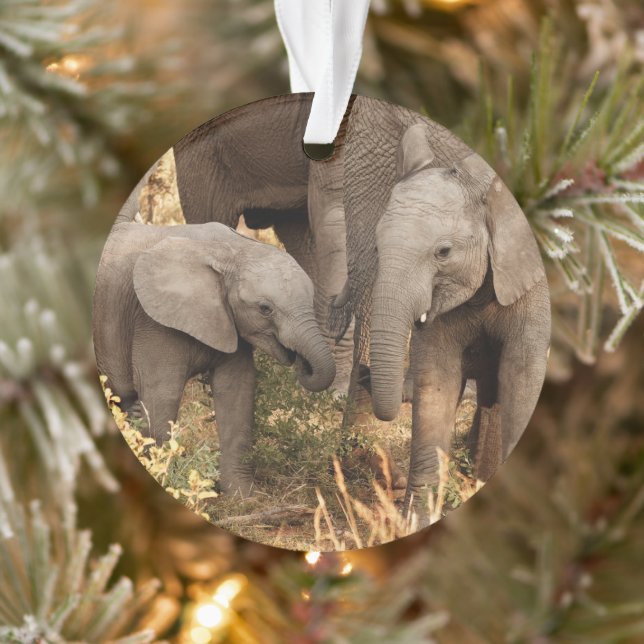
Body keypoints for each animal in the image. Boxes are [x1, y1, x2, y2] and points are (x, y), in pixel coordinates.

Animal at [93, 221, 336, 496]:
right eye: (265, 309)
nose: (302, 362)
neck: (231, 251)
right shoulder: (153, 321)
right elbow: (162, 393)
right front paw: (163, 480)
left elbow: (236, 391)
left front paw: (243, 497)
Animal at [332, 97, 550, 511]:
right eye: (378, 247)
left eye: (443, 252)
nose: (365, 372)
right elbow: (437, 381)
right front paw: (416, 514)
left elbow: (522, 378)